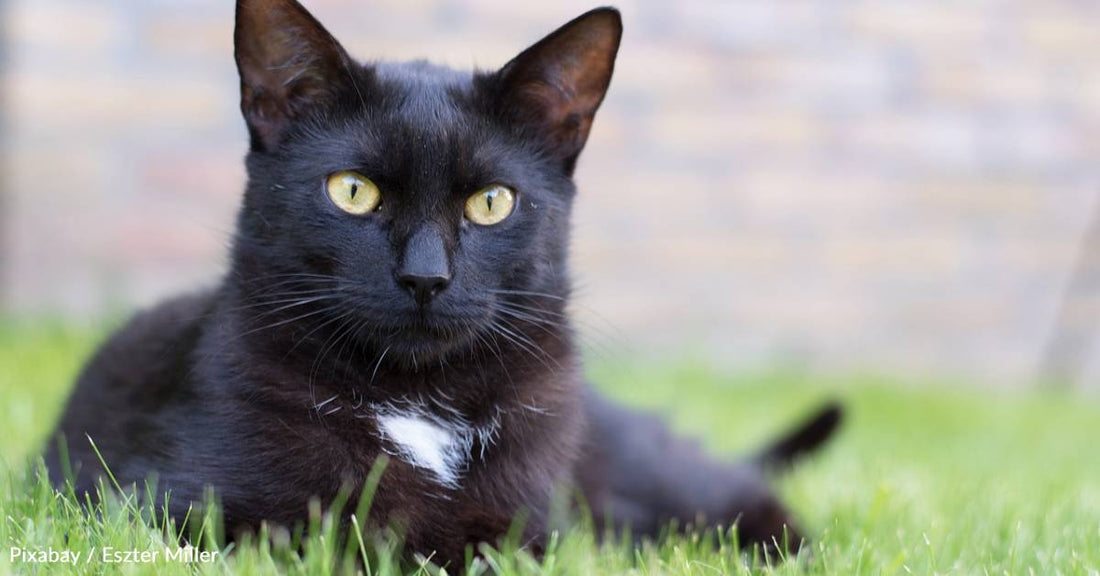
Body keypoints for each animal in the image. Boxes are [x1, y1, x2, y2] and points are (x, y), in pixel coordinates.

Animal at [45, 0, 840, 567]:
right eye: (352, 191)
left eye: (491, 202)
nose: (425, 276)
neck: (418, 399)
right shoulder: (174, 508)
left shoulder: (526, 529)